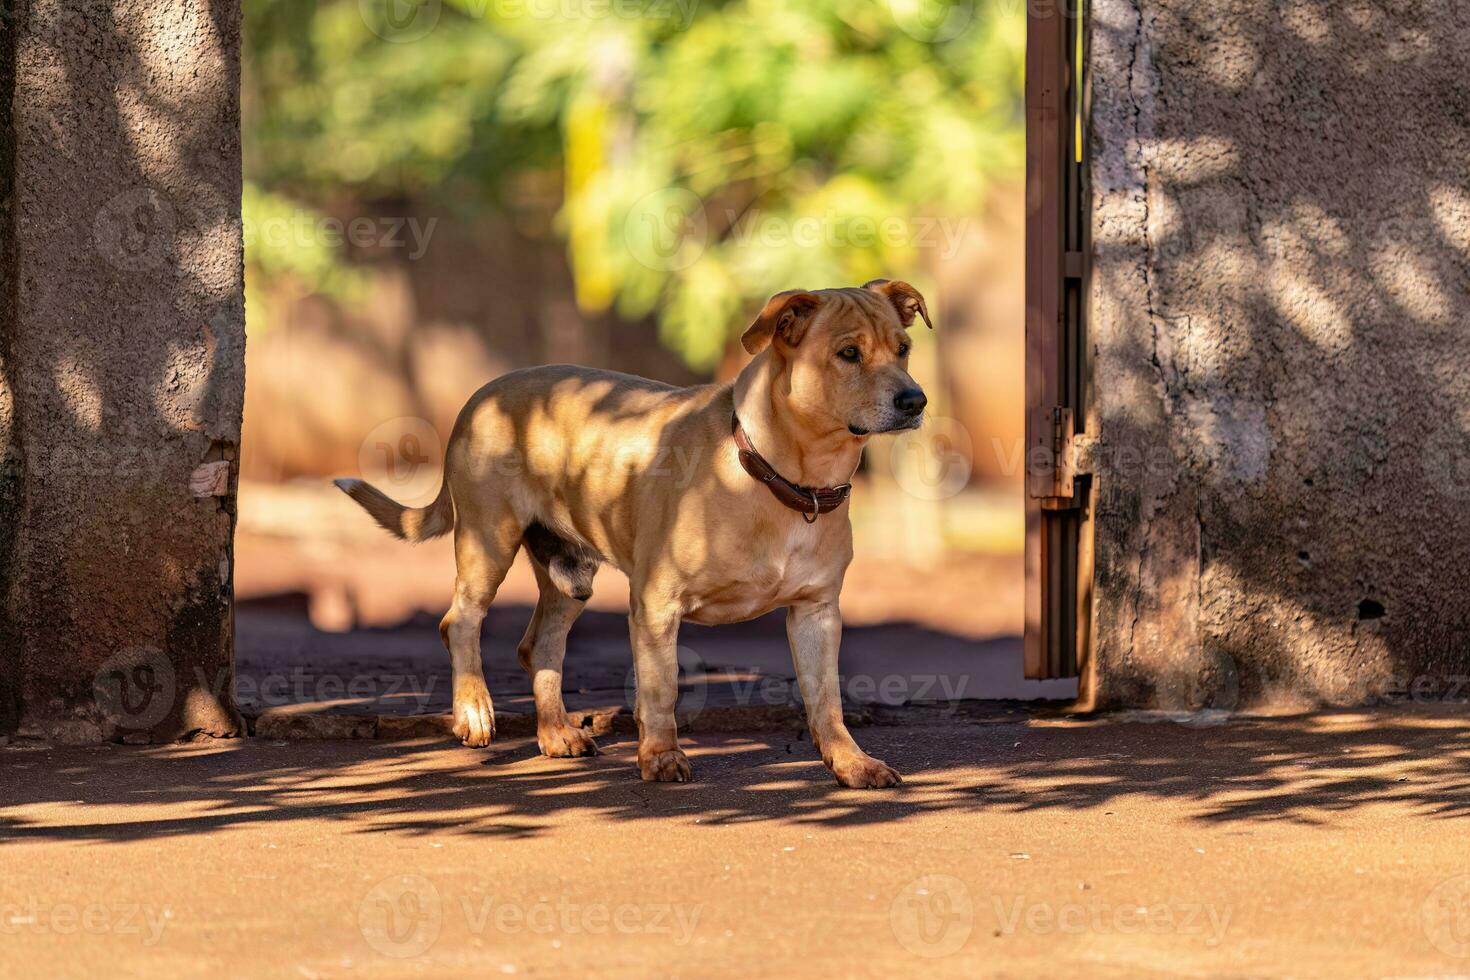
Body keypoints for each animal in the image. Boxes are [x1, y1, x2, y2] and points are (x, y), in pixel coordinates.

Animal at [338, 279, 929, 787]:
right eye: (848, 354)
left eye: (902, 348)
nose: (915, 400)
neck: (777, 475)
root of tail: (480, 396)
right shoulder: (656, 604)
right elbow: (661, 687)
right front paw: (661, 756)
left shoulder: (816, 613)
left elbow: (826, 701)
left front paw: (851, 763)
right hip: (488, 544)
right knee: (459, 622)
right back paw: (473, 711)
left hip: (569, 576)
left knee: (538, 645)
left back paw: (556, 733)